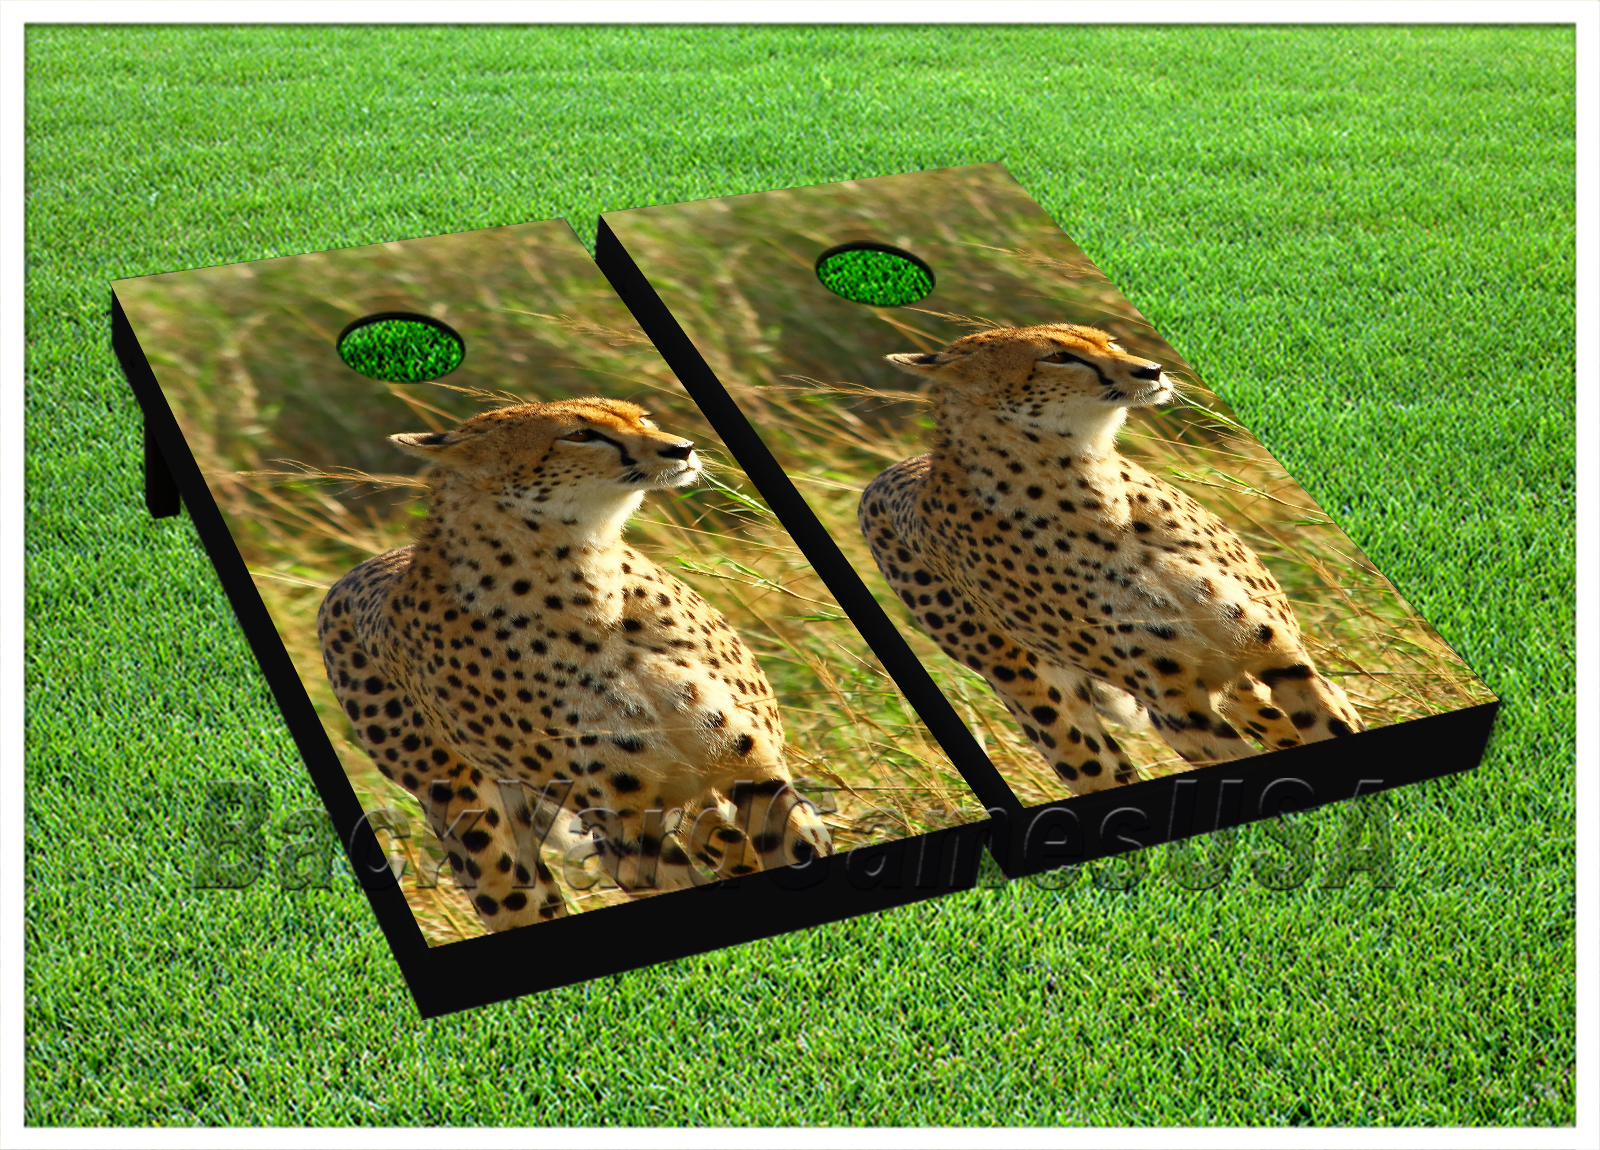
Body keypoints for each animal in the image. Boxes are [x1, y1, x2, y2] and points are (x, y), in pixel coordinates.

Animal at [318, 397, 832, 931]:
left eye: (641, 418)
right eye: (581, 435)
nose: (683, 447)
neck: (588, 590)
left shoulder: (753, 771)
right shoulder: (626, 829)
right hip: (476, 829)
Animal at [858, 323, 1364, 795]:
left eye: (1110, 342)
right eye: (1057, 357)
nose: (1152, 370)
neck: (1095, 497)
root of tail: (882, 477)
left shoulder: (1282, 660)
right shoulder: (1177, 712)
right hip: (1047, 713)